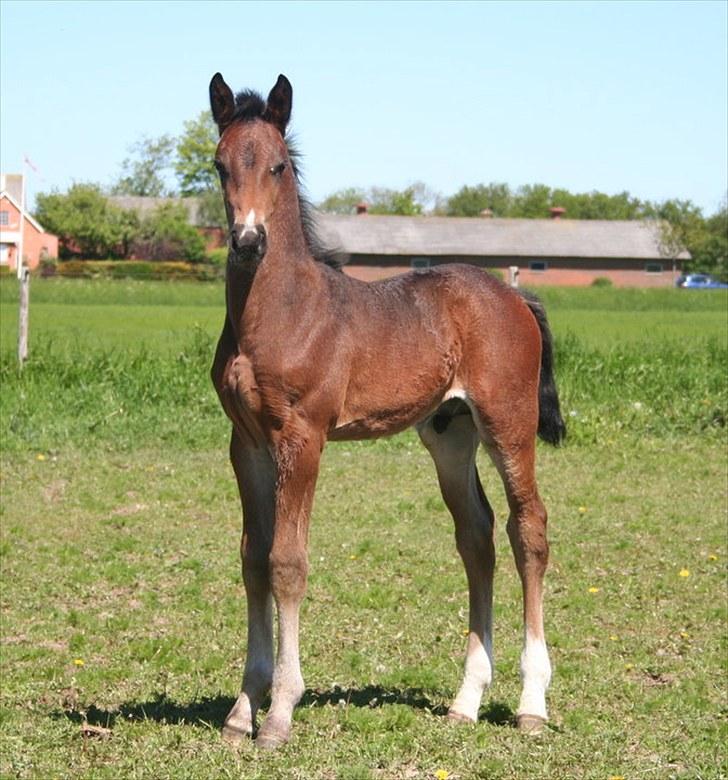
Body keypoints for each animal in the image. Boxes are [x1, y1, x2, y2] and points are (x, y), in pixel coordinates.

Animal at [208, 73, 564, 748]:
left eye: (277, 166)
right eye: (219, 166)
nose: (247, 240)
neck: (281, 312)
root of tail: (514, 296)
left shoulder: (303, 437)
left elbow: (287, 561)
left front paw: (279, 712)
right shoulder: (247, 445)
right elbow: (251, 559)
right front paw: (242, 710)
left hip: (508, 424)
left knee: (527, 529)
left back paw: (531, 703)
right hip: (450, 435)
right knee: (477, 535)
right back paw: (466, 700)